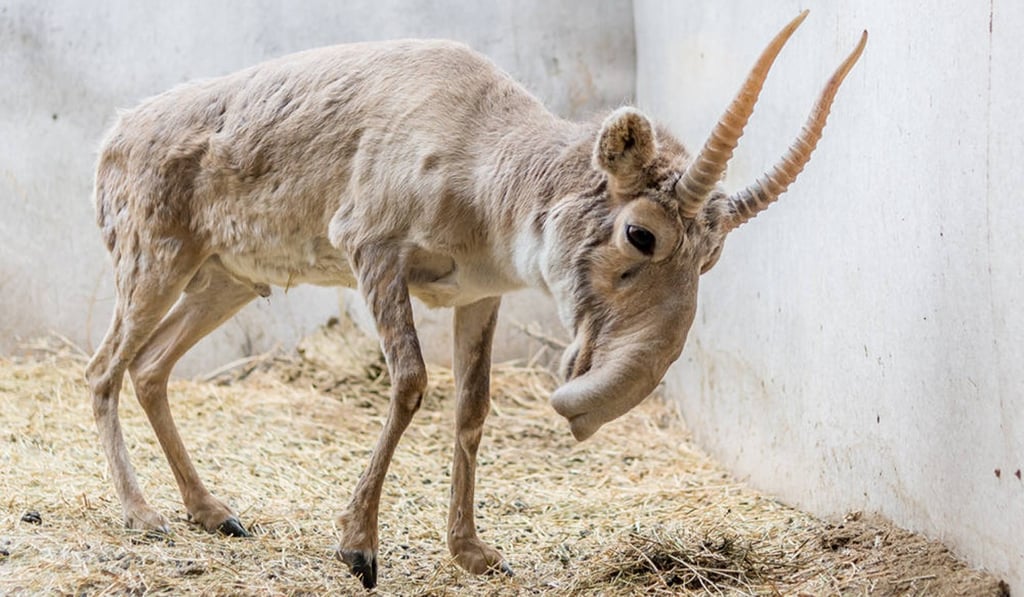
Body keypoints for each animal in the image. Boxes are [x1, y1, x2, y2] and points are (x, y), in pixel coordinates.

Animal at [86, 11, 865, 589]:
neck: (484, 164)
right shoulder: (371, 247)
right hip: (152, 260)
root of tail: (113, 134)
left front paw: (474, 552)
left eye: (713, 256)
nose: (590, 406)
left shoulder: (481, 293)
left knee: (150, 368)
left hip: (227, 278)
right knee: (102, 369)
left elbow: (471, 408)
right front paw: (358, 546)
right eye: (640, 233)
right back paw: (143, 513)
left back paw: (212, 510)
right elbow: (409, 382)